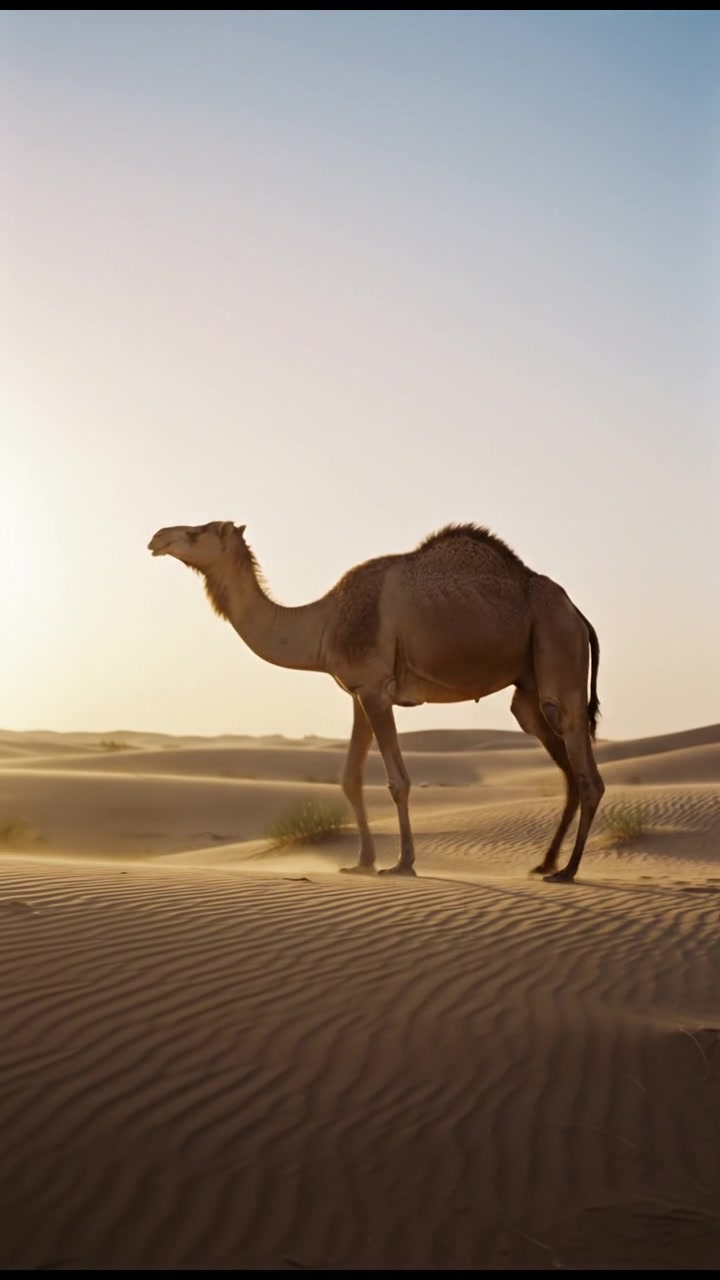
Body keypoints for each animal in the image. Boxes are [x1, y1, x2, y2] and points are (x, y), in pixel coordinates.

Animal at [148, 521, 605, 882]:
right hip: (527, 690)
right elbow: (350, 778)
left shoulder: (374, 690)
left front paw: (402, 863)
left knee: (586, 768)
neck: (323, 622)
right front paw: (362, 862)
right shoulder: (358, 692)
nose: (157, 537)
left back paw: (568, 871)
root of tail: (579, 614)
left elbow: (397, 781)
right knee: (564, 765)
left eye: (199, 531)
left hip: (557, 644)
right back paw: (545, 863)